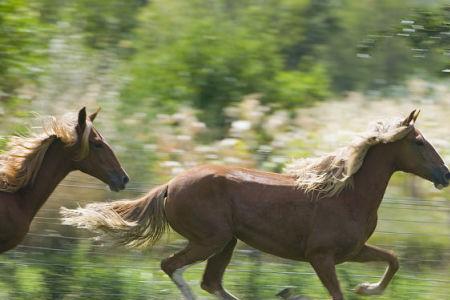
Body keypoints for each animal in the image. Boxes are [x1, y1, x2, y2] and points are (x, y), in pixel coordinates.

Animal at [61, 110, 448, 300]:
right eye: (418, 141)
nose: (444, 174)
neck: (346, 195)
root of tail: (169, 185)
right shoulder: (321, 256)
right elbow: (339, 293)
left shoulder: (351, 251)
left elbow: (393, 260)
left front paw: (366, 288)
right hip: (212, 239)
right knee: (173, 267)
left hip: (226, 242)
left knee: (210, 283)